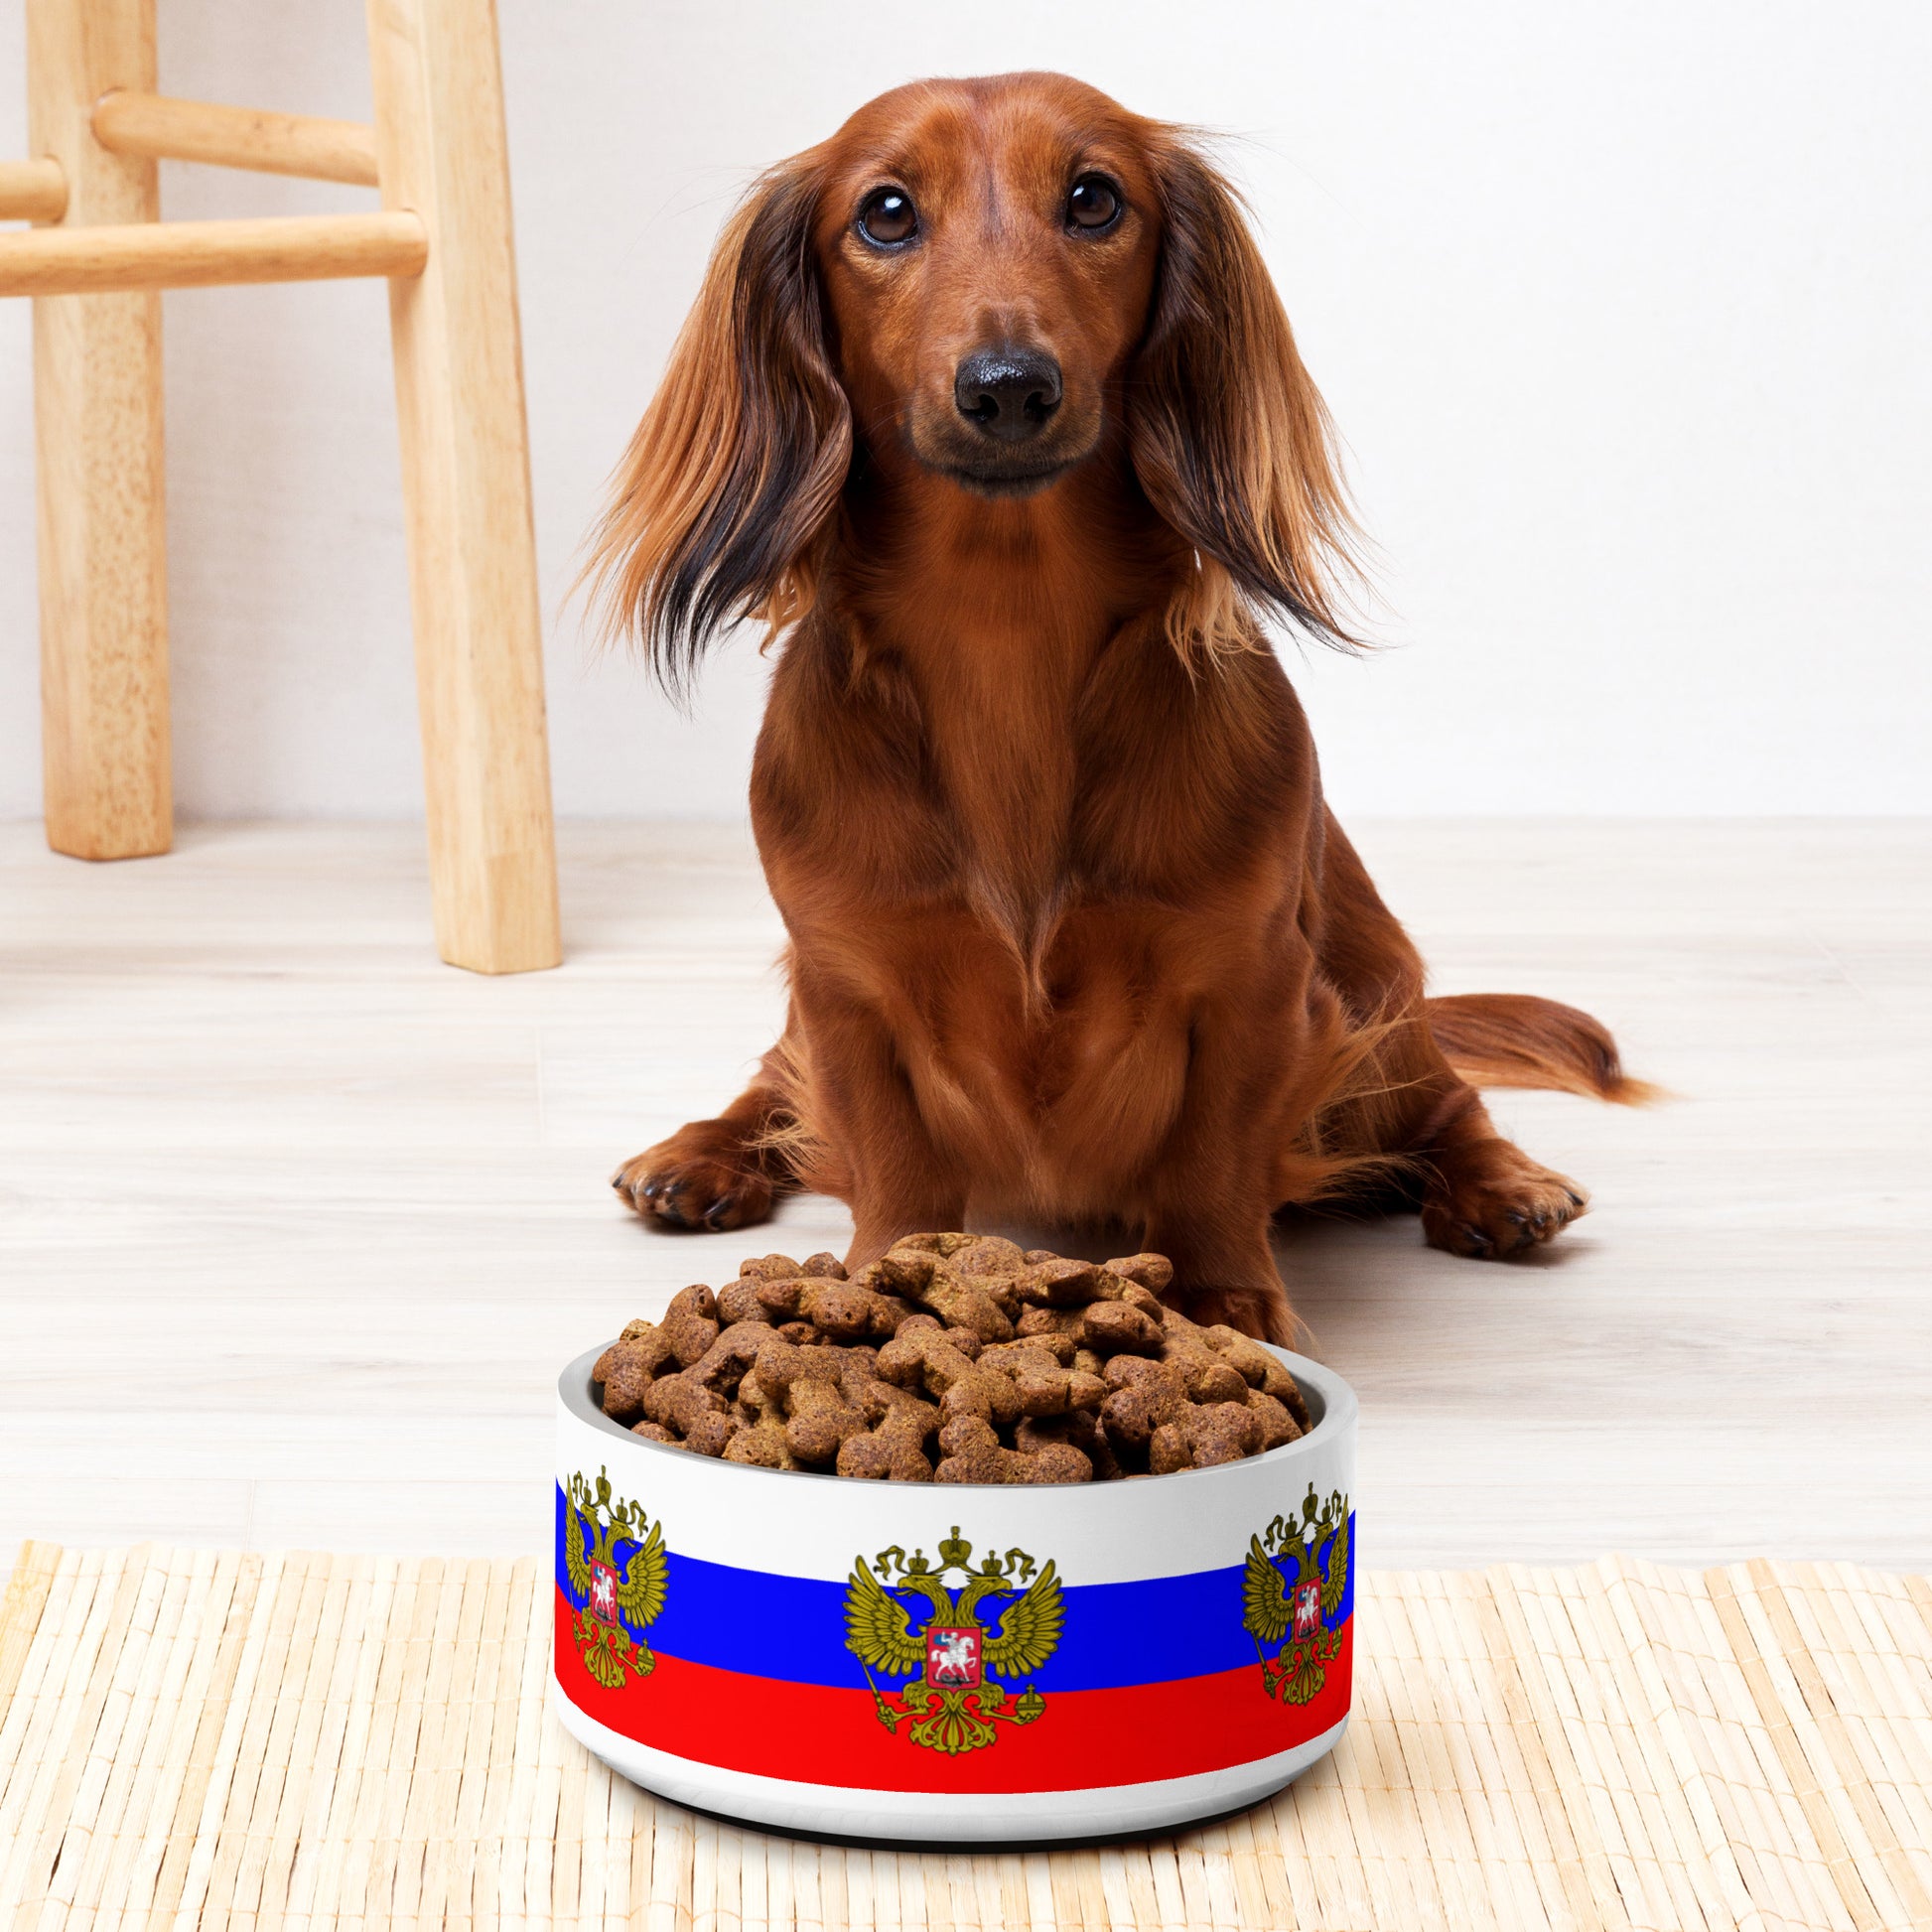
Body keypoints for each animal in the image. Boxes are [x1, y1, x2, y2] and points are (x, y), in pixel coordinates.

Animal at [591, 74, 1645, 1344]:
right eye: (884, 212)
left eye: (1094, 198)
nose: (1007, 388)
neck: (1005, 632)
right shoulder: (844, 983)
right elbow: (888, 1156)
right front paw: (883, 1282)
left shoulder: (1252, 981)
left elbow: (1210, 1159)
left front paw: (1226, 1297)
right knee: (770, 1084)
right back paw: (699, 1154)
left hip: (1374, 997)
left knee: (1445, 1101)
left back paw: (1502, 1183)